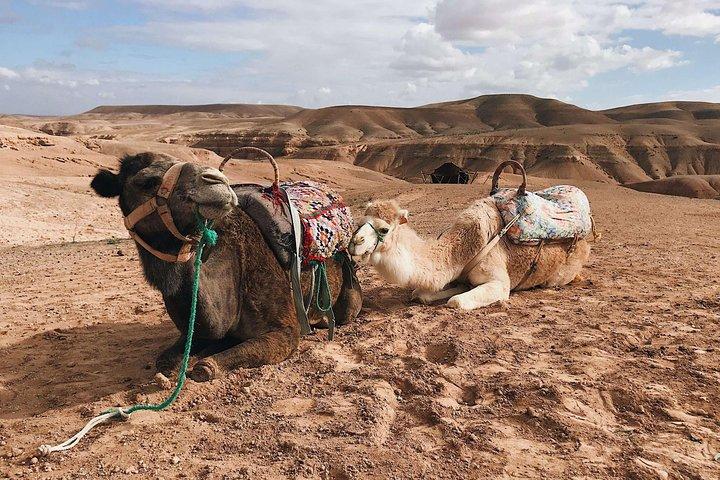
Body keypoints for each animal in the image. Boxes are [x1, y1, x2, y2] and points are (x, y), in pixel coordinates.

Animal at [91, 152, 362, 382]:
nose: (216, 181)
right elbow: (166, 362)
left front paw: (207, 361)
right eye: (147, 181)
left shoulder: (286, 330)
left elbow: (205, 368)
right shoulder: (196, 332)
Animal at [348, 199, 590, 310]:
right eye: (360, 222)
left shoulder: (500, 283)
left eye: (384, 229)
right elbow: (421, 293)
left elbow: (456, 302)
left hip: (560, 275)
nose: (354, 243)